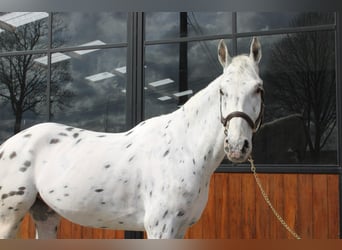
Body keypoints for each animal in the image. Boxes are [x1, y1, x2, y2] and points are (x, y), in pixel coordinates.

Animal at [0, 36, 264, 238]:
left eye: (258, 88)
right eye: (222, 90)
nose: (237, 146)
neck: (185, 150)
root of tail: (8, 145)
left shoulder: (179, 229)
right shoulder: (161, 228)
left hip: (45, 214)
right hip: (9, 216)